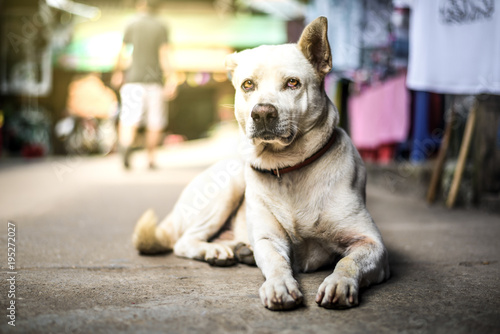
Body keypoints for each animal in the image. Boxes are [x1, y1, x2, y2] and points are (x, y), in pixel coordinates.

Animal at [134, 17, 390, 310]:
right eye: (248, 85)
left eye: (292, 83)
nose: (263, 113)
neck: (289, 167)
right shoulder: (269, 239)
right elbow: (277, 261)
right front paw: (280, 285)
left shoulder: (372, 243)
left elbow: (348, 261)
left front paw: (340, 283)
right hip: (228, 185)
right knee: (184, 241)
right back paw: (216, 250)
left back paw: (240, 249)